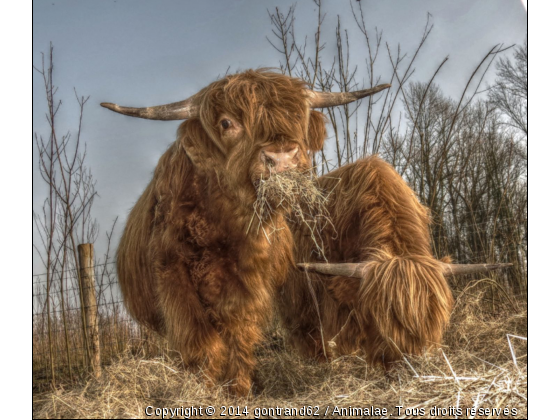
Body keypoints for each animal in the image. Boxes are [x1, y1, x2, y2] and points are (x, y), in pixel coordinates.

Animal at [103, 70, 462, 396]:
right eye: (226, 123)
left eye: (297, 118)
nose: (282, 158)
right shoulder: (173, 278)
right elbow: (202, 343)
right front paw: (209, 392)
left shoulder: (252, 285)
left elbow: (239, 339)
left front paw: (239, 391)